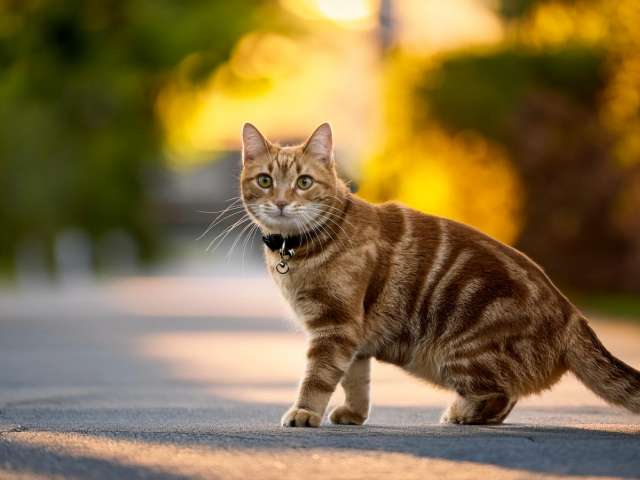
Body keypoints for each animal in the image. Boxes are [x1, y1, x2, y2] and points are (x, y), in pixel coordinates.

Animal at [239, 122, 640, 426]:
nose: (280, 202)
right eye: (264, 181)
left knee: (500, 394)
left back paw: (460, 412)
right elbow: (356, 380)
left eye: (304, 182)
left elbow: (318, 377)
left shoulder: (336, 326)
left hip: (459, 352)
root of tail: (573, 316)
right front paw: (354, 413)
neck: (295, 252)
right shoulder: (354, 337)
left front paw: (305, 412)